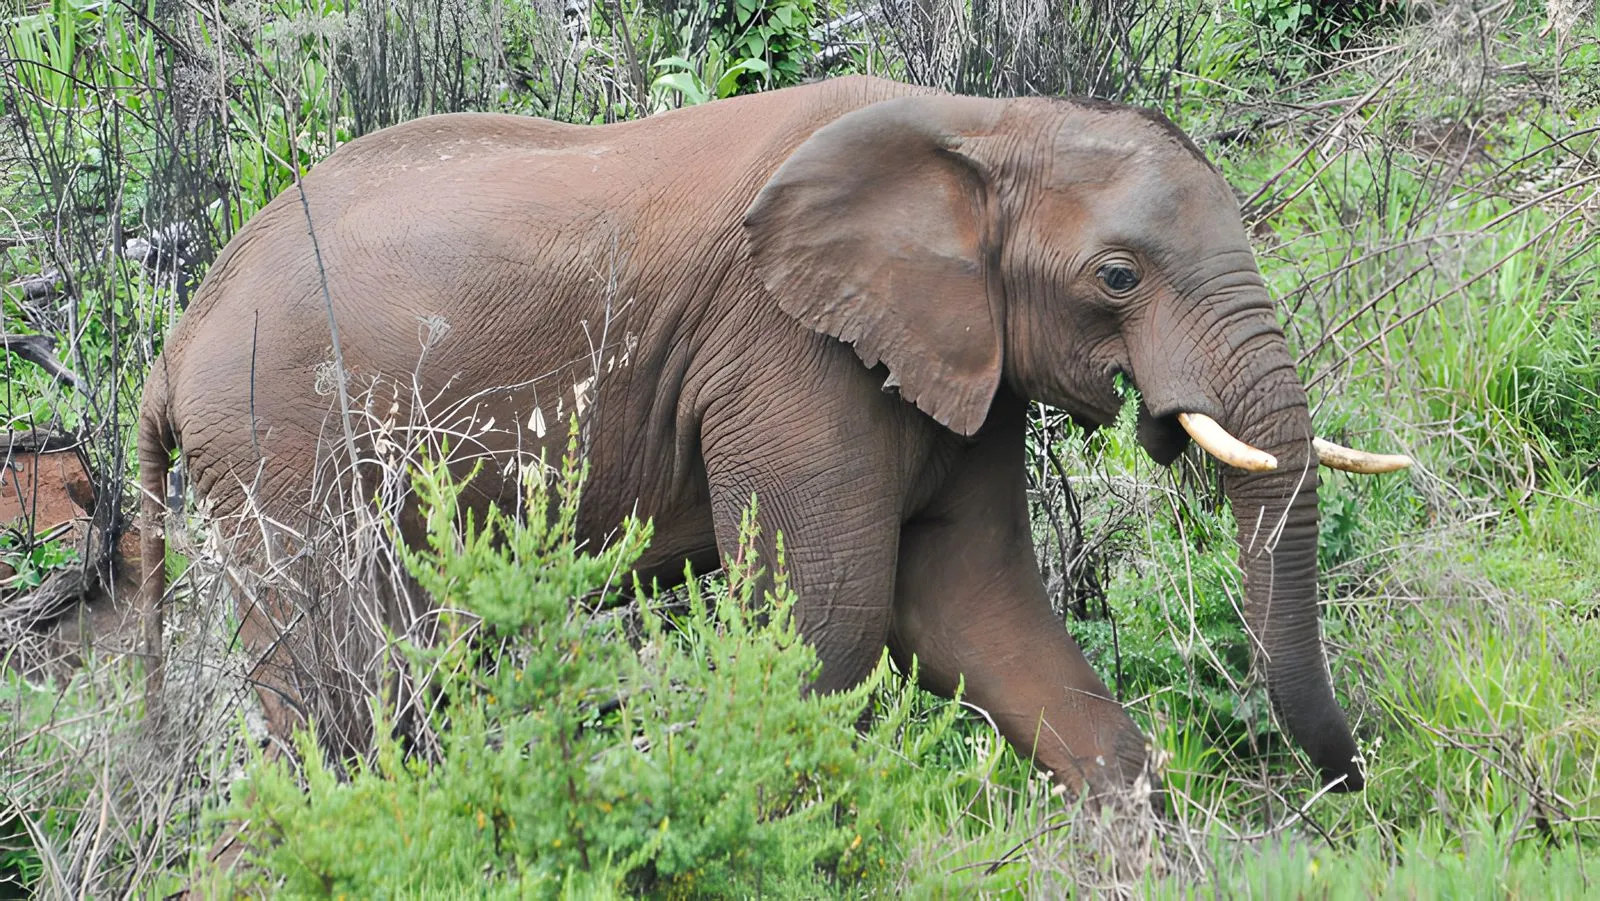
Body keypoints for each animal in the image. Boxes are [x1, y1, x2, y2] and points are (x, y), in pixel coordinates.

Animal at [137, 74, 1410, 801]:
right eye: (1116, 276)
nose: (1354, 787)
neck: (983, 127)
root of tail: (178, 336)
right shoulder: (785, 354)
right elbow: (833, 624)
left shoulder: (955, 357)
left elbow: (975, 609)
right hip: (280, 447)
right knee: (346, 688)